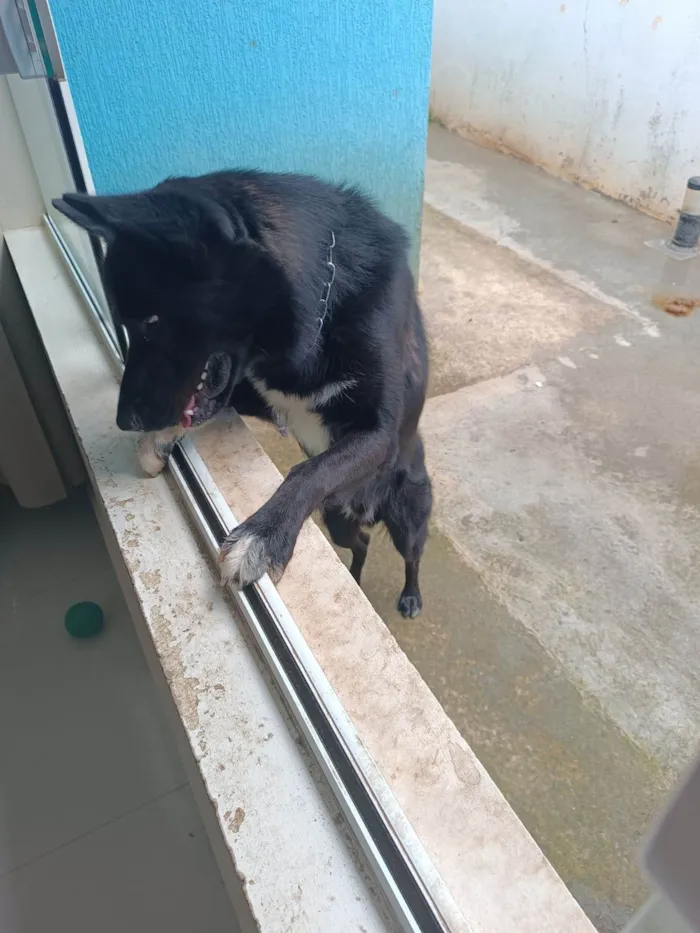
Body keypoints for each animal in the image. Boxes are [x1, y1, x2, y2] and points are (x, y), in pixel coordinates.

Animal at [53, 170, 432, 616]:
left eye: (152, 322)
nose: (124, 420)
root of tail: (366, 508)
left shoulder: (379, 435)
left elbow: (310, 469)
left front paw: (262, 538)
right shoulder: (264, 397)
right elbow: (218, 406)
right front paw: (159, 438)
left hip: (407, 512)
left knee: (412, 555)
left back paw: (410, 596)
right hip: (337, 518)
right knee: (361, 542)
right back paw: (356, 576)